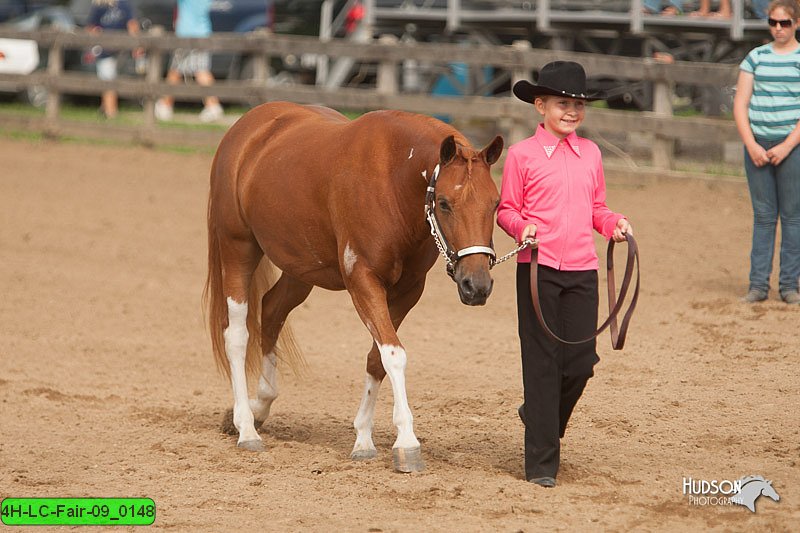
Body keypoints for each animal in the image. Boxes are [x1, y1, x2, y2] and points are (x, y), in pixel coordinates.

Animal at [205, 102, 500, 472]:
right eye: (444, 203)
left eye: (496, 203)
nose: (477, 285)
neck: (393, 178)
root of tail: (249, 125)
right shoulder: (363, 281)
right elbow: (394, 355)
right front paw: (407, 442)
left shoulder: (407, 291)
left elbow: (377, 358)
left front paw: (363, 439)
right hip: (238, 248)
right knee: (237, 334)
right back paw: (246, 427)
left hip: (300, 269)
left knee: (271, 310)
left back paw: (260, 406)